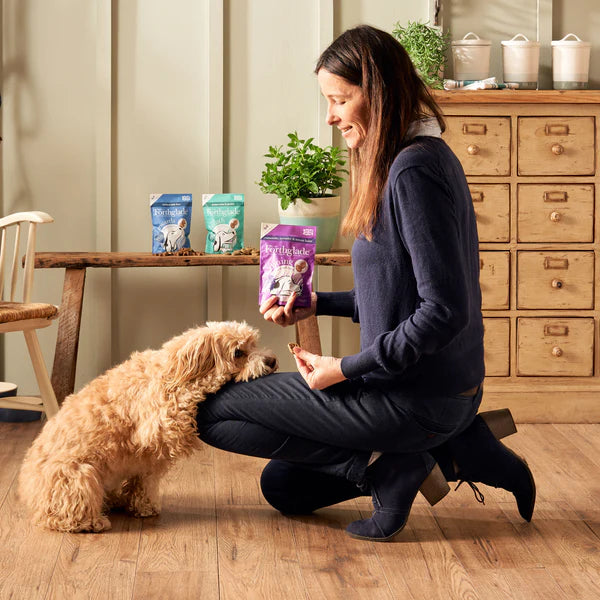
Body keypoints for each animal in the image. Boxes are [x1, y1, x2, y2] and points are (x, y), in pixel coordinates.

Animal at [18, 322, 276, 532]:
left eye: (254, 343)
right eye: (238, 352)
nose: (272, 361)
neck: (173, 370)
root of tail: (28, 493)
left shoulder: (148, 462)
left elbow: (145, 484)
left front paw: (144, 507)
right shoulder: (160, 421)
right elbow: (192, 390)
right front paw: (214, 379)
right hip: (78, 475)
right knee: (58, 516)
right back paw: (90, 522)